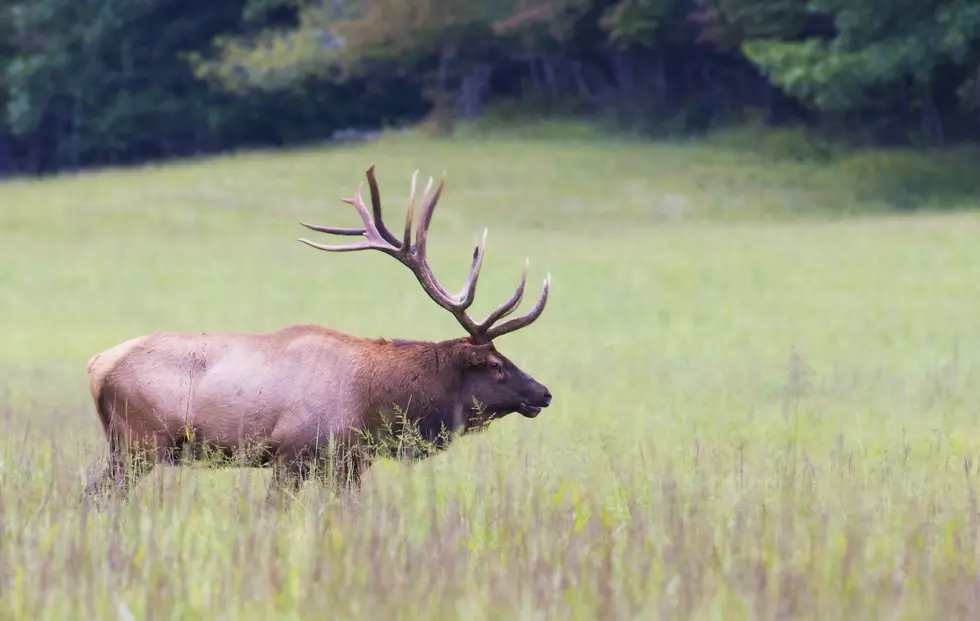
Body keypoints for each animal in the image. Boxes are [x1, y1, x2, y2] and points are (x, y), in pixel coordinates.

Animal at [83, 166, 552, 504]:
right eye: (495, 364)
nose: (544, 393)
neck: (375, 401)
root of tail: (95, 365)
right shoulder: (292, 454)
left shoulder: (349, 463)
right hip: (139, 443)